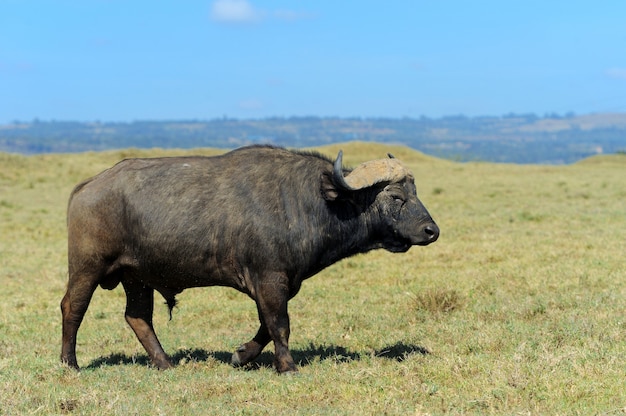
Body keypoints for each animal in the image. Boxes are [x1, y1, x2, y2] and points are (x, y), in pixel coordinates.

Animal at [61, 145, 436, 372]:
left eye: (416, 192)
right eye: (396, 196)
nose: (432, 230)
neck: (313, 203)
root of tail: (87, 187)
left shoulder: (277, 283)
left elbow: (266, 326)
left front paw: (241, 354)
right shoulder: (270, 279)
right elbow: (279, 324)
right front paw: (287, 366)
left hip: (137, 278)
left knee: (138, 318)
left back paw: (164, 363)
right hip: (87, 268)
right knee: (72, 308)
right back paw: (70, 363)